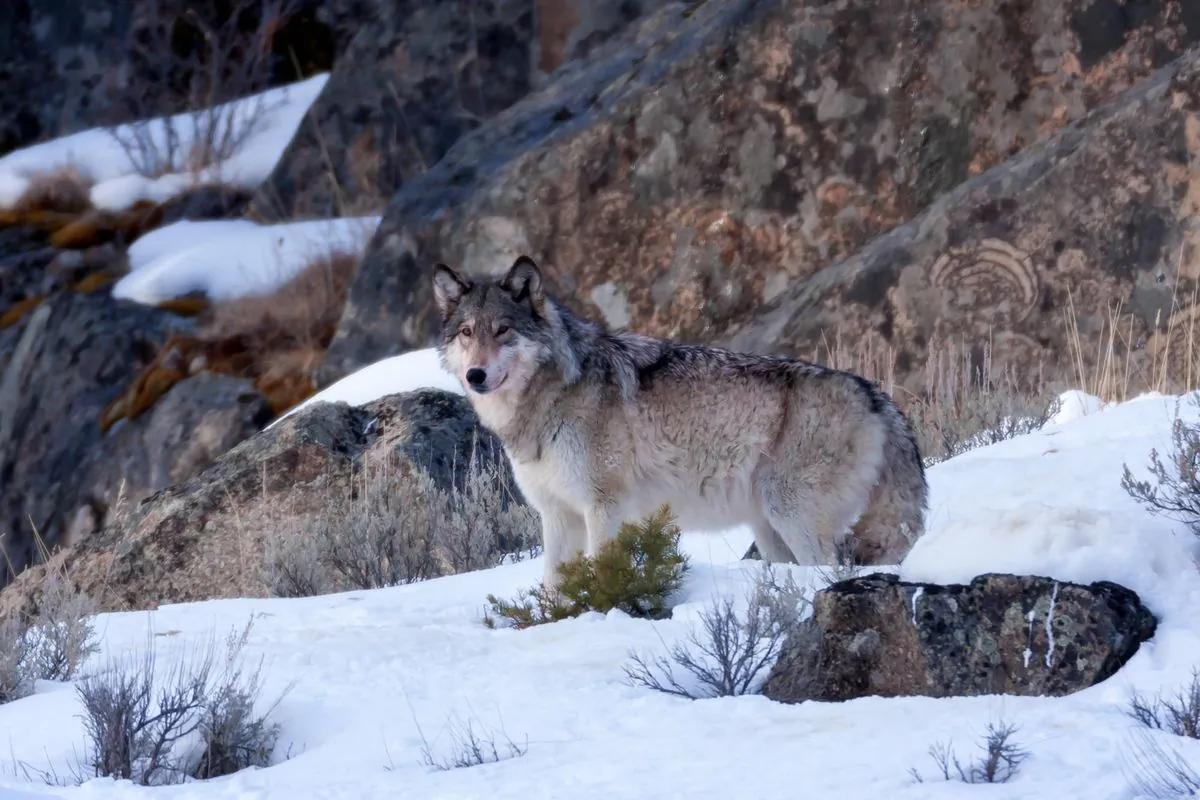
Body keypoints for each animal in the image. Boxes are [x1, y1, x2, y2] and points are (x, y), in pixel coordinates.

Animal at [432, 256, 926, 587]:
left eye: (503, 331)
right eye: (467, 333)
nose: (475, 376)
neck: (550, 397)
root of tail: (876, 395)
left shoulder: (604, 507)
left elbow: (602, 572)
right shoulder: (556, 514)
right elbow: (554, 585)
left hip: (793, 517)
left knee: (830, 570)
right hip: (769, 531)